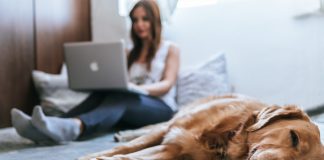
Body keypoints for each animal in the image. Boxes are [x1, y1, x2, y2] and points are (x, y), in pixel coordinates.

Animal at [79, 94, 324, 159]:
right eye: (294, 137)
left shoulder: (173, 150)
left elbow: (131, 156)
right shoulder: (173, 132)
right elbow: (125, 150)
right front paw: (91, 156)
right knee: (152, 126)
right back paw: (124, 133)